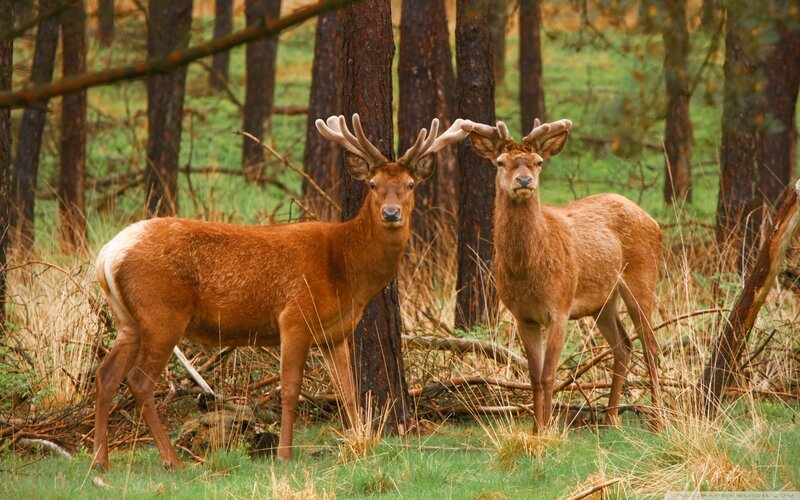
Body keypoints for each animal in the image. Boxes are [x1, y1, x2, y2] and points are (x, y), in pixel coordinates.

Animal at [91, 114, 469, 470]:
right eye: (373, 184)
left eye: (410, 184)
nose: (391, 213)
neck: (345, 271)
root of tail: (107, 254)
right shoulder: (295, 317)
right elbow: (289, 390)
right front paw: (285, 454)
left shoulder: (335, 333)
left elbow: (348, 392)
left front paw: (360, 443)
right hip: (162, 313)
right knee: (139, 381)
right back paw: (172, 460)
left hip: (128, 321)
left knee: (106, 375)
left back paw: (100, 461)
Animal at [459, 118, 664, 431]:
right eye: (500, 162)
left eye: (538, 162)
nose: (524, 181)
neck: (527, 271)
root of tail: (654, 221)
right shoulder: (522, 315)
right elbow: (533, 376)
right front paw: (535, 428)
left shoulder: (560, 305)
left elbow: (548, 375)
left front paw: (546, 429)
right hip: (603, 301)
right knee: (624, 344)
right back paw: (610, 418)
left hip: (642, 277)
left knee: (651, 345)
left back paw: (657, 421)